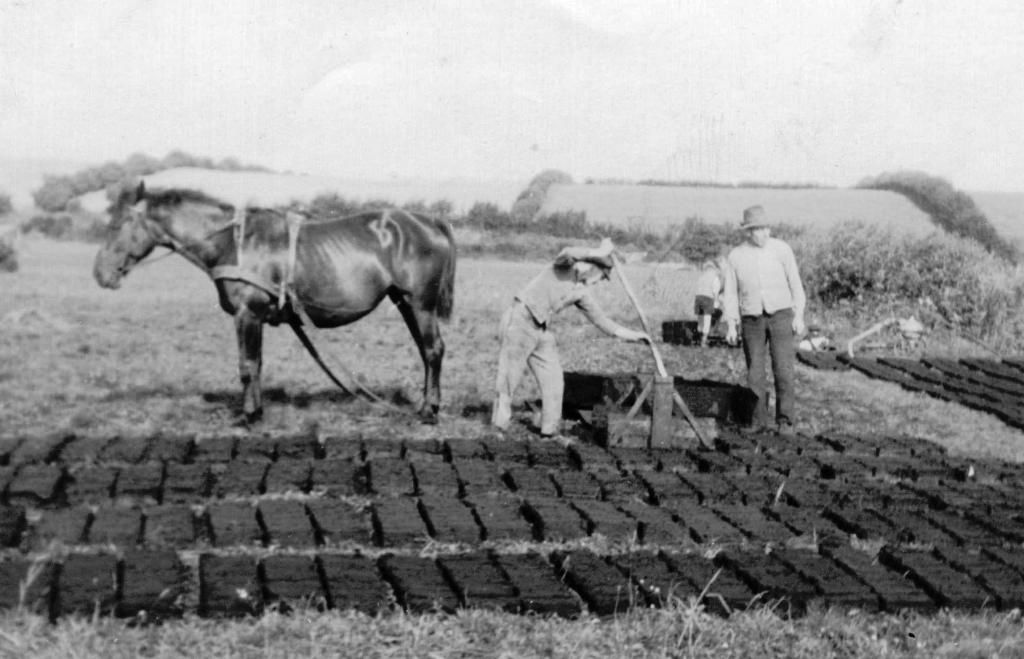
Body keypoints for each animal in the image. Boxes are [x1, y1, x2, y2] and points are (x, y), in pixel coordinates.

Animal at [95, 183, 456, 425]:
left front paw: (249, 416)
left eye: (119, 224)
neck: (234, 244)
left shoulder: (247, 315)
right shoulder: (254, 318)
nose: (100, 274)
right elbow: (257, 364)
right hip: (405, 302)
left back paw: (429, 410)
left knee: (433, 350)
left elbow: (247, 365)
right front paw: (257, 410)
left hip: (420, 304)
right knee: (426, 351)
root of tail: (429, 222)